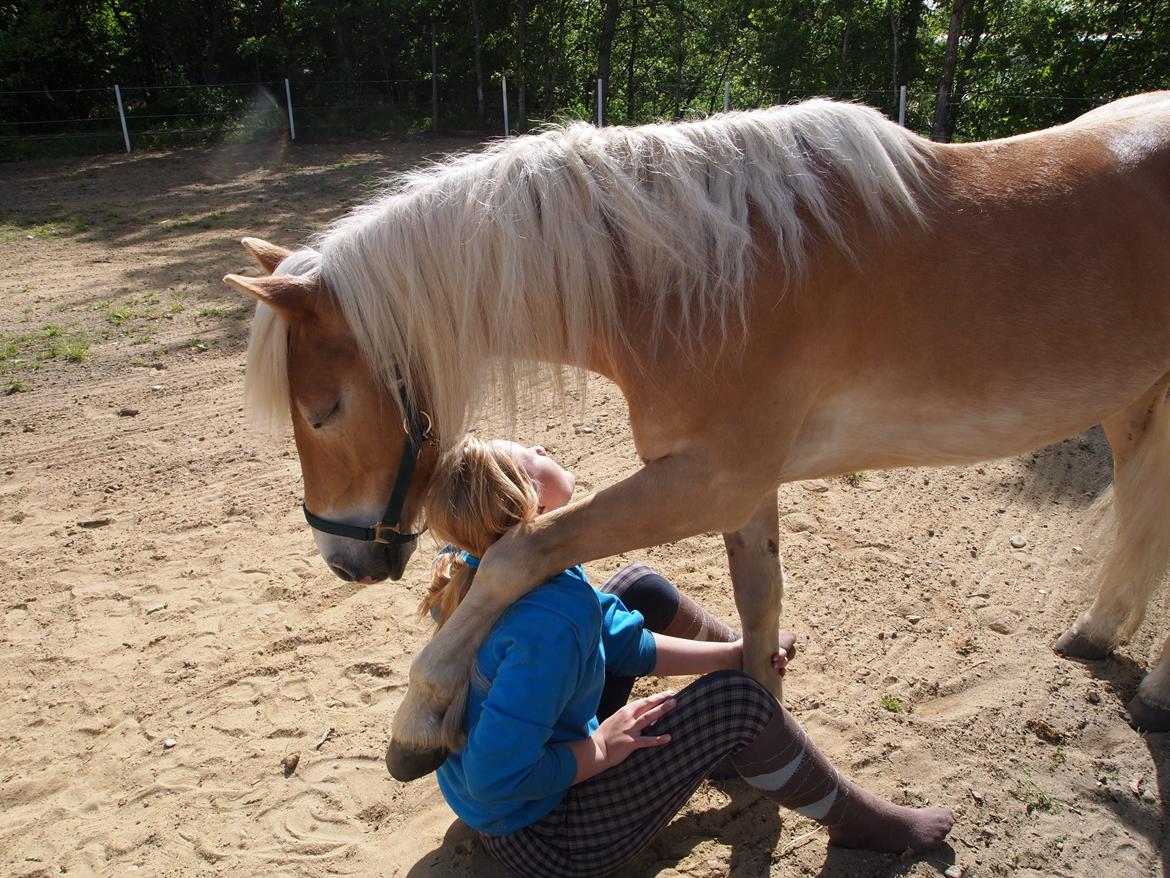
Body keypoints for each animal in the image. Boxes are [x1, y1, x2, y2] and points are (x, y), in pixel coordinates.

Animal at [225, 94, 1170, 782]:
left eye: (324, 410)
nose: (343, 559)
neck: (691, 279)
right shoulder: (741, 491)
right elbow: (757, 608)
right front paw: (763, 725)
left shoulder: (710, 479)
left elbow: (520, 553)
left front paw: (421, 716)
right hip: (1135, 402)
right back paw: (1097, 633)